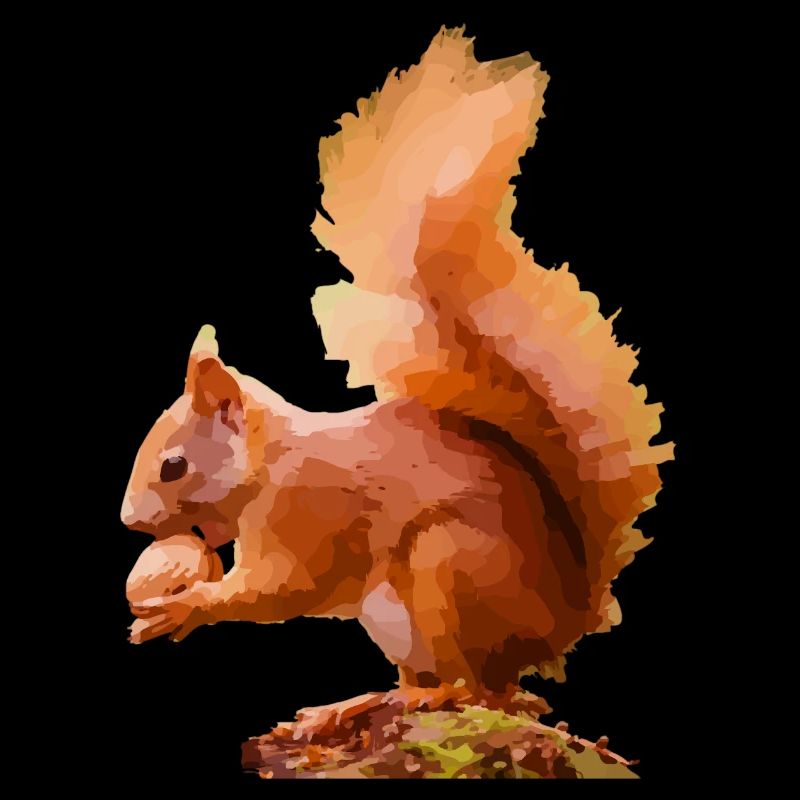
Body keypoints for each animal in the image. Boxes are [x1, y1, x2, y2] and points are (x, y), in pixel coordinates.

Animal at [122, 28, 672, 710]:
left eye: (173, 466)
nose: (129, 522)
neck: (268, 460)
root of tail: (563, 620)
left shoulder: (306, 508)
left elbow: (283, 588)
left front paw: (187, 606)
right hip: (396, 626)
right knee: (441, 678)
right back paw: (360, 703)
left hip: (446, 570)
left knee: (481, 685)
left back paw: (442, 697)